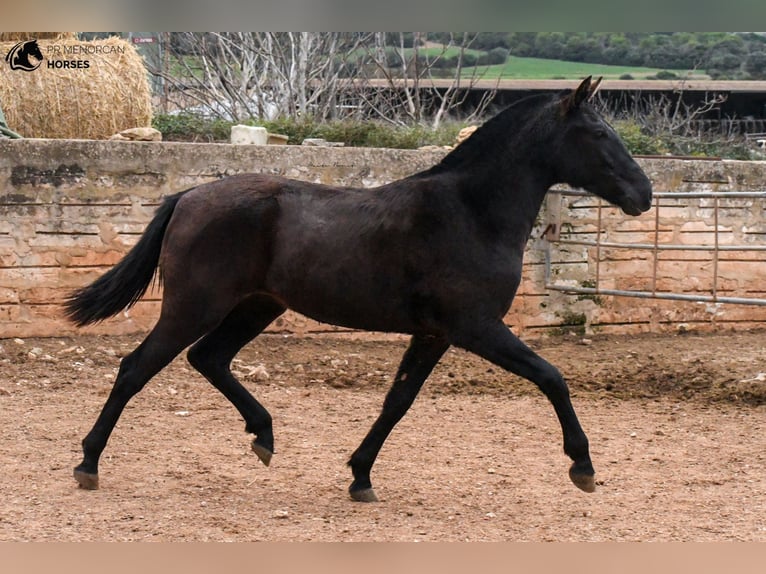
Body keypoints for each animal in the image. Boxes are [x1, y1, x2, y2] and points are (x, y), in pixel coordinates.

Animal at [64, 77, 656, 504]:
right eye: (599, 134)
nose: (643, 193)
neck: (471, 212)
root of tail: (187, 196)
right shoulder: (476, 327)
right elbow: (551, 377)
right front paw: (583, 465)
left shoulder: (435, 334)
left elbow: (398, 400)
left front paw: (360, 476)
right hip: (195, 305)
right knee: (136, 368)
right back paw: (88, 464)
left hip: (256, 306)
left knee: (208, 358)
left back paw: (263, 436)